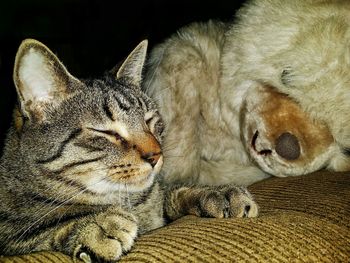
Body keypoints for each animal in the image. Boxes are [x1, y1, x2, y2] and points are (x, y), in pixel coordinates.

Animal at [0, 39, 258, 263]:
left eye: (149, 121)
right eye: (106, 132)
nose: (156, 155)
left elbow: (170, 194)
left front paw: (216, 193)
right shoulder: (11, 233)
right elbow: (40, 228)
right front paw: (96, 225)